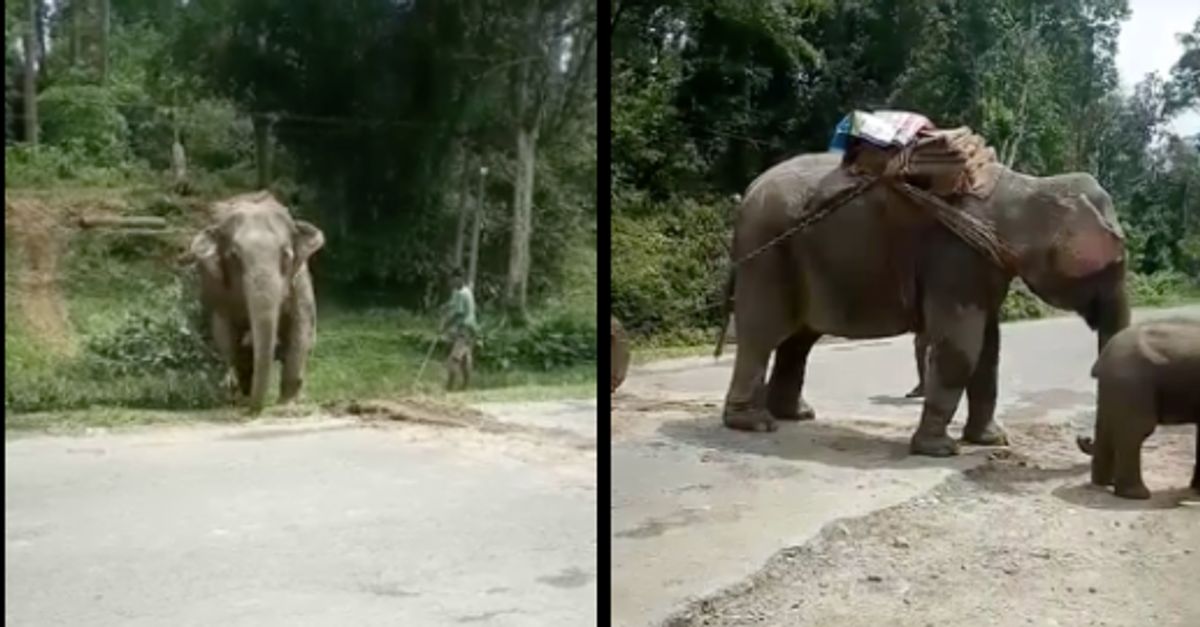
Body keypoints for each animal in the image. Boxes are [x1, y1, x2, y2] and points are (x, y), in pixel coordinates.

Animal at [183, 192, 326, 413]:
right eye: (234, 256)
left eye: (286, 255)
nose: (254, 409)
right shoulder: (214, 286)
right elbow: (223, 332)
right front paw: (235, 393)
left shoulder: (300, 282)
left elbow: (301, 331)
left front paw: (286, 405)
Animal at [715, 151, 1128, 454]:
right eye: (1117, 262)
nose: (1083, 440)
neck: (1029, 187)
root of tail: (748, 191)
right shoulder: (957, 255)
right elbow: (962, 345)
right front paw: (940, 450)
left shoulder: (985, 263)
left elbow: (989, 350)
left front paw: (991, 441)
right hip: (768, 254)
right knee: (762, 334)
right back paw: (755, 424)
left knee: (799, 340)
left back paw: (796, 416)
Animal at [1075, 317, 1200, 497]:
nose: (1083, 438)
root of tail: (1104, 356)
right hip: (1132, 381)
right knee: (1136, 430)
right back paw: (1137, 495)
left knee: (1107, 426)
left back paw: (1106, 484)